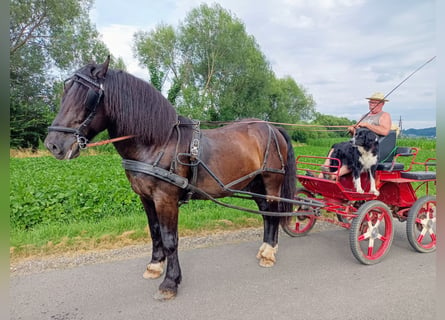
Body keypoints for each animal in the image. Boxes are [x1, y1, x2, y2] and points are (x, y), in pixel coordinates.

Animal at [44, 57, 294, 300]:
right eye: (65, 94)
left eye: (88, 98)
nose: (53, 145)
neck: (157, 143)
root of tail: (272, 128)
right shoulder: (146, 198)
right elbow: (155, 232)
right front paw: (155, 266)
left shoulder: (166, 199)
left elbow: (170, 239)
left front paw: (170, 282)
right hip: (254, 183)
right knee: (265, 212)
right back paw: (265, 248)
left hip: (271, 181)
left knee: (273, 212)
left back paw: (269, 253)